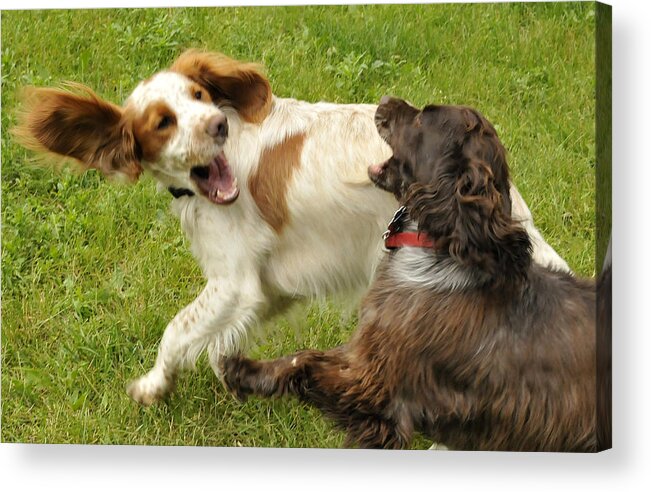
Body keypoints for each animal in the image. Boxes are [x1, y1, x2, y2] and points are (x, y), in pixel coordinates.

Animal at [12, 50, 568, 406]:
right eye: (162, 122)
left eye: (200, 95)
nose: (216, 124)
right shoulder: (268, 286)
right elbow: (220, 347)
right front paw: (237, 380)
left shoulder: (232, 282)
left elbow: (177, 330)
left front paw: (152, 385)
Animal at [222, 95, 600, 450]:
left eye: (424, 117)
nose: (385, 99)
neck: (440, 248)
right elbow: (300, 358)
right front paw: (247, 370)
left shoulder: (378, 385)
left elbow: (307, 361)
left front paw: (240, 371)